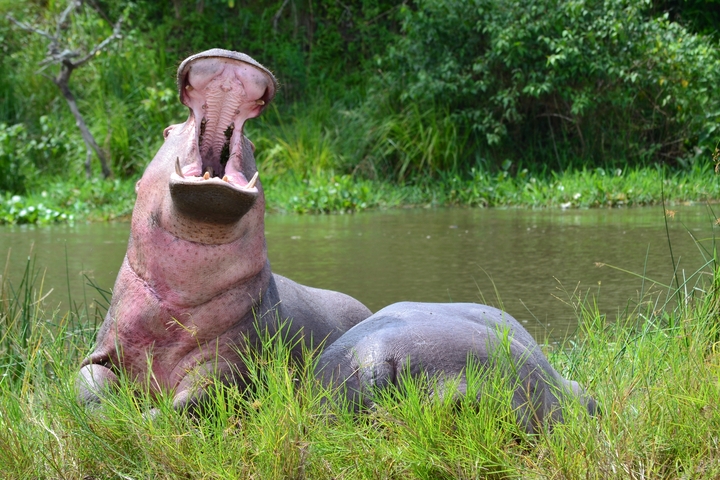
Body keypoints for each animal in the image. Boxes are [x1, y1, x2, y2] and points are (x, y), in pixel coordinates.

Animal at [76, 49, 371, 412]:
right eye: (166, 131)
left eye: (254, 145)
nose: (232, 51)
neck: (182, 290)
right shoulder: (103, 350)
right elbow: (89, 383)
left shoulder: (233, 362)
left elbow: (198, 396)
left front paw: (152, 414)